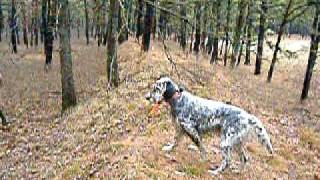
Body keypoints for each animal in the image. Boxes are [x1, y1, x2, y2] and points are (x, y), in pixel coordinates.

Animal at [146, 76, 274, 175]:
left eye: (157, 88)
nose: (147, 97)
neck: (178, 99)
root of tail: (247, 116)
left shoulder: (192, 131)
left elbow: (201, 148)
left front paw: (203, 160)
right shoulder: (180, 130)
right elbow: (175, 141)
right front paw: (169, 149)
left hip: (225, 142)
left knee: (227, 161)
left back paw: (216, 172)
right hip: (237, 143)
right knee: (245, 158)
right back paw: (238, 171)